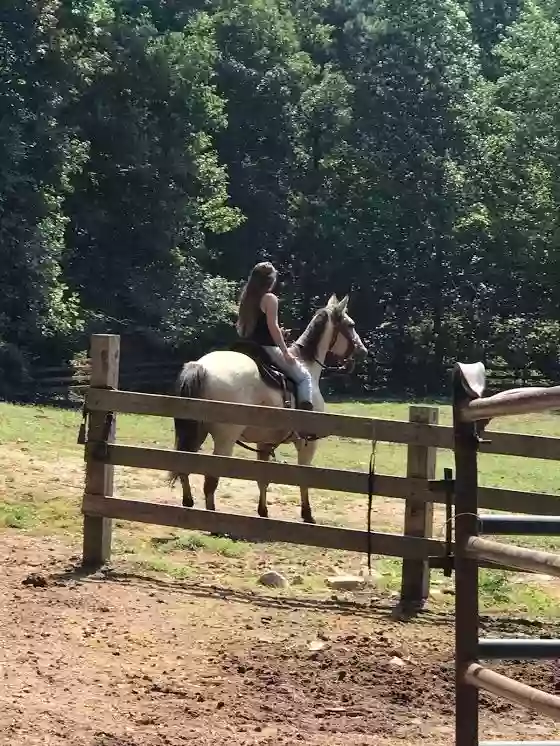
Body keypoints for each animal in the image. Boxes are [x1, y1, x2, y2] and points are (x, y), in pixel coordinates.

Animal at [167, 292, 368, 524]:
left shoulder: (264, 443)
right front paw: (307, 514)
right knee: (210, 482)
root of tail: (202, 367)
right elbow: (304, 478)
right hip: (225, 440)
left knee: (186, 468)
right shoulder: (307, 444)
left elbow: (263, 479)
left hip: (196, 433)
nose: (363, 350)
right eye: (350, 324)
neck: (307, 364)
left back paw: (188, 504)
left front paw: (263, 512)